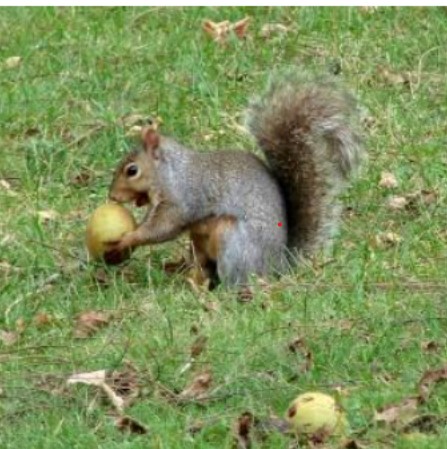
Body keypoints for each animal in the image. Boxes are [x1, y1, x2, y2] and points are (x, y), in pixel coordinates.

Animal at [107, 71, 364, 288]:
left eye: (132, 170)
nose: (112, 196)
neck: (171, 171)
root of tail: (278, 266)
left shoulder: (181, 199)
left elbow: (162, 228)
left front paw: (127, 238)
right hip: (199, 241)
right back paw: (192, 283)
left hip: (232, 242)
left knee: (233, 279)